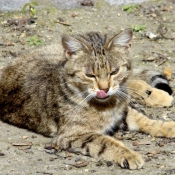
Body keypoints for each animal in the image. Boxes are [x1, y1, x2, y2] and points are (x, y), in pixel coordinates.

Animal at [0, 29, 175, 170]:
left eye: (114, 71)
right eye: (90, 75)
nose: (104, 88)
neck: (108, 105)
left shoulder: (122, 112)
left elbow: (147, 120)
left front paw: (169, 126)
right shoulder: (71, 135)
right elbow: (105, 142)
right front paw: (128, 154)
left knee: (132, 80)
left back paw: (157, 94)